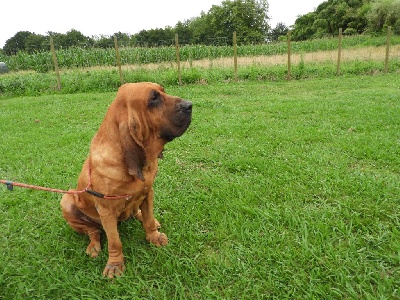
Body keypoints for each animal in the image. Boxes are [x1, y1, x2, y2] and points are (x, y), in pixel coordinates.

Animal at [61, 81, 192, 276]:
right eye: (153, 99)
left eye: (163, 91)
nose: (190, 105)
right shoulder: (106, 210)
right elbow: (115, 241)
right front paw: (114, 264)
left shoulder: (148, 192)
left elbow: (148, 220)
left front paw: (154, 237)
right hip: (66, 200)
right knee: (93, 231)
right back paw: (93, 246)